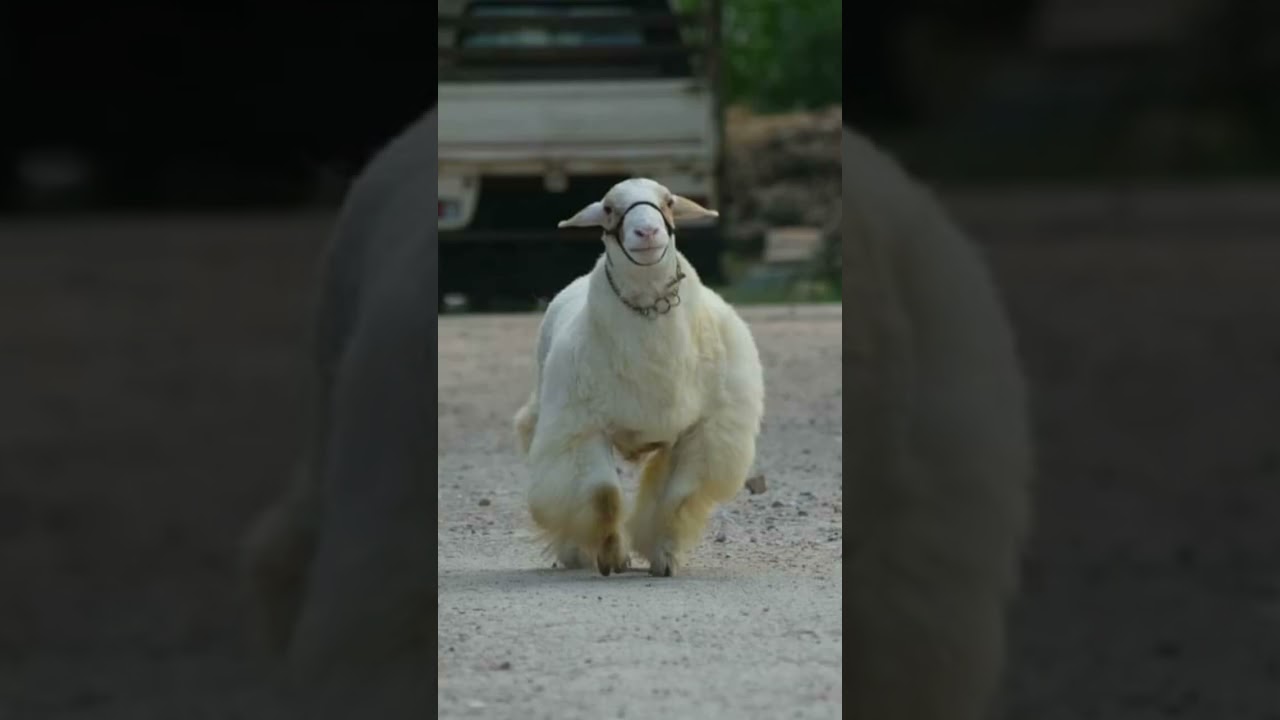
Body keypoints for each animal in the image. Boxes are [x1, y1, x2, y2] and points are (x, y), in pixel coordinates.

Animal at [512, 177, 765, 577]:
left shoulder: (703, 431)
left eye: (670, 201)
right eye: (608, 208)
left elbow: (679, 496)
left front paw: (665, 557)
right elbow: (603, 495)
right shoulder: (582, 428)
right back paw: (573, 552)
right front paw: (612, 556)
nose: (647, 232)